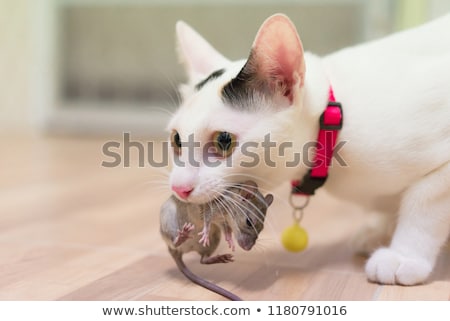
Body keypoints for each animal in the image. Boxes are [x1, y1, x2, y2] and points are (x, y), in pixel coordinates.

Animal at [168, 13, 450, 284]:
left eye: (224, 140)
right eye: (176, 140)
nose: (178, 188)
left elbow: (422, 205)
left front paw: (403, 256)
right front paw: (379, 230)